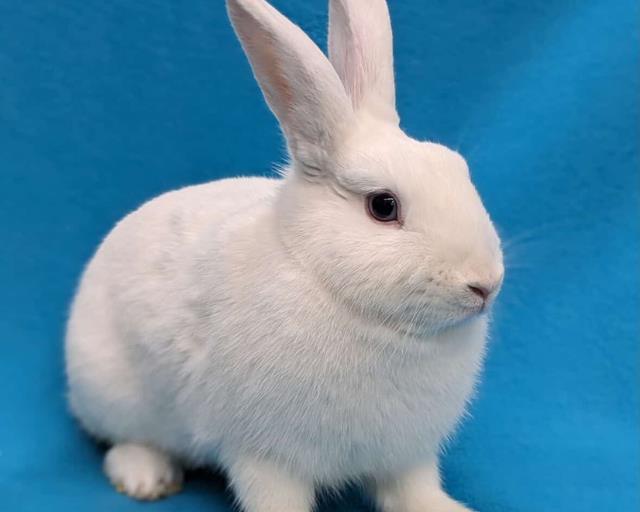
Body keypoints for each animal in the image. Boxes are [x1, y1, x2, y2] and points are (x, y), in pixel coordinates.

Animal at [64, 0, 504, 511]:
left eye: (458, 168)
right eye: (383, 206)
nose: (485, 284)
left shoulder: (406, 454)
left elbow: (413, 490)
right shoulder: (264, 456)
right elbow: (275, 496)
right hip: (116, 395)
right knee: (126, 441)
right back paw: (145, 479)